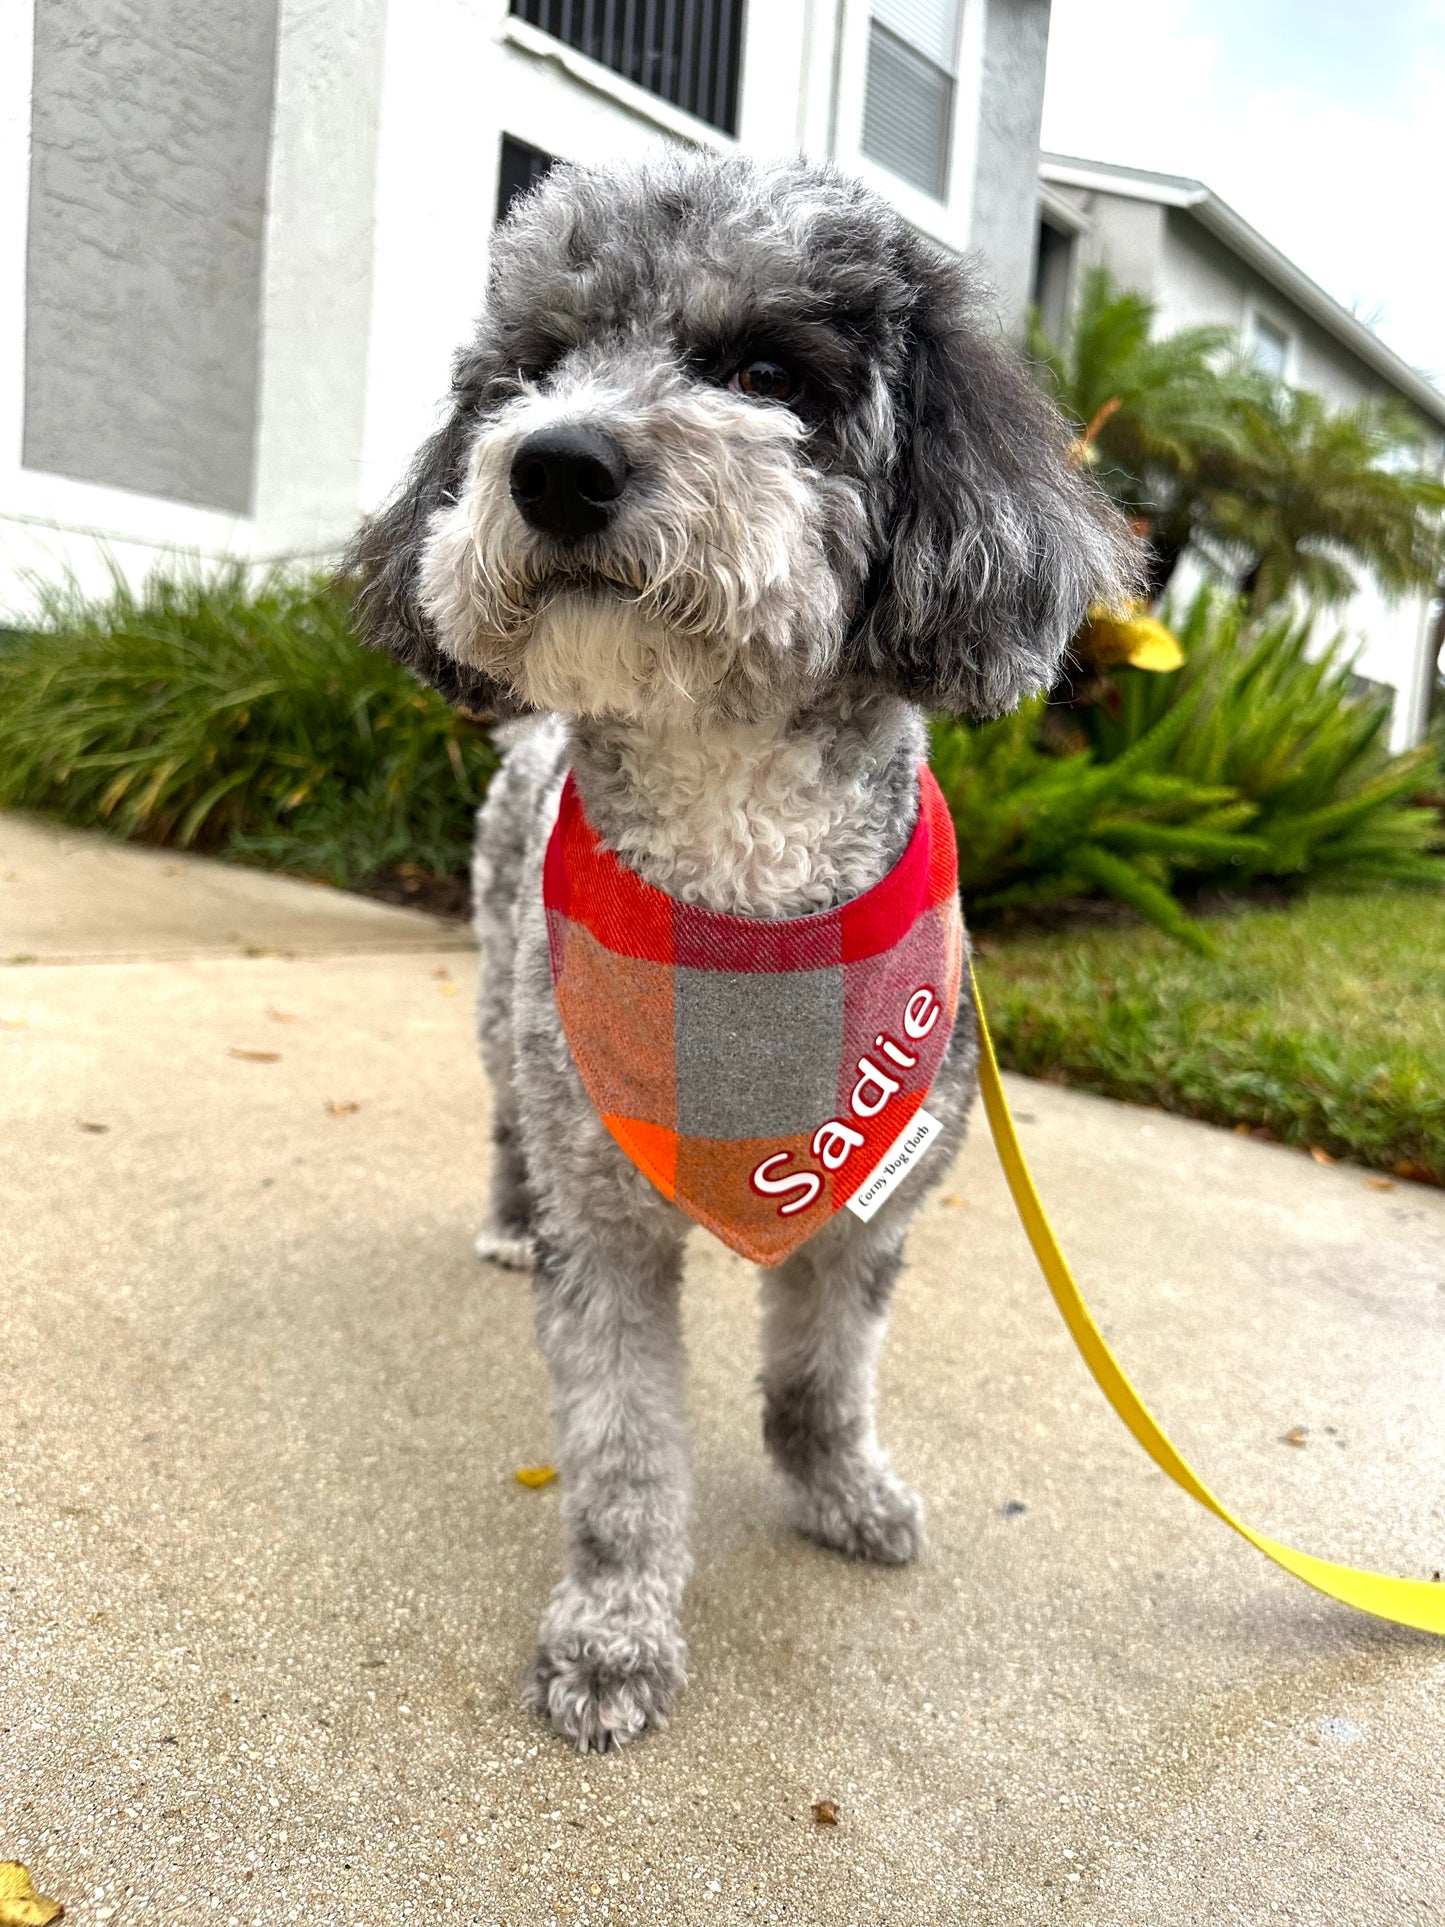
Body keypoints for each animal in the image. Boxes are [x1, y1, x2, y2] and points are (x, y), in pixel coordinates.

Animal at [342, 146, 1140, 1749]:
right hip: (500, 1010)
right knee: (506, 1123)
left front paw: (840, 1492)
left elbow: (821, 1381)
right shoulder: (607, 1237)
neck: (739, 874)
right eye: (533, 369)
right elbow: (622, 1459)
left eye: (764, 370)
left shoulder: (869, 1210)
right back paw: (504, 1215)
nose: (553, 462)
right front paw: (610, 1637)